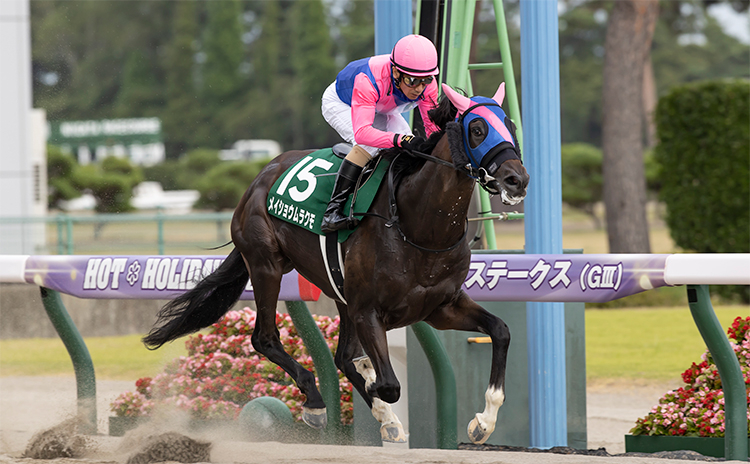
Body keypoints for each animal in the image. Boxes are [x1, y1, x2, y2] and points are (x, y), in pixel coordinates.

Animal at [141, 81, 528, 444]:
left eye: (510, 125)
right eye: (477, 129)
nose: (517, 179)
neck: (420, 227)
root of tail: (261, 177)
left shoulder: (440, 307)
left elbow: (501, 331)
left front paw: (482, 423)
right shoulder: (368, 310)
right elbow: (388, 384)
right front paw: (376, 392)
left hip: (337, 290)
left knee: (340, 355)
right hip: (267, 266)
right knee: (265, 338)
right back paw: (316, 402)